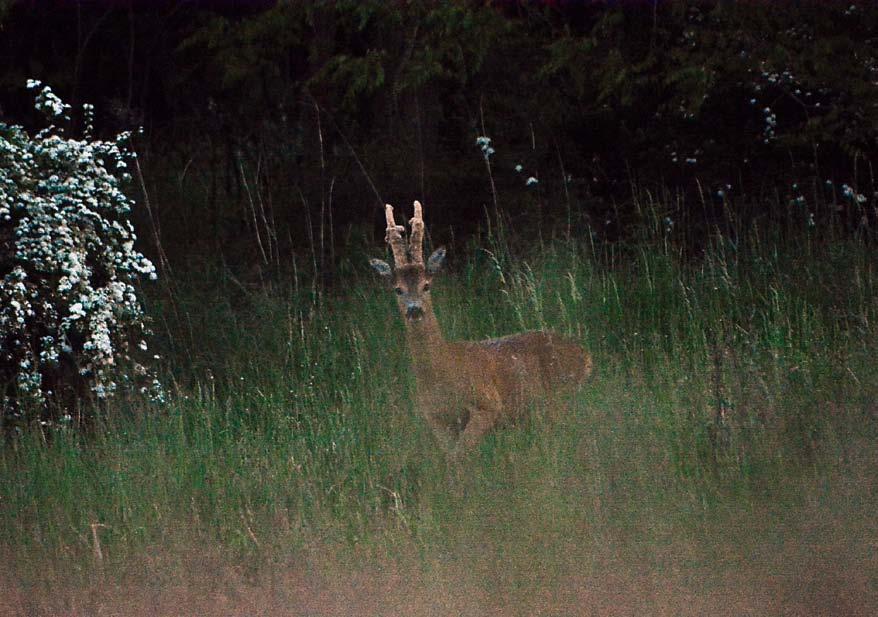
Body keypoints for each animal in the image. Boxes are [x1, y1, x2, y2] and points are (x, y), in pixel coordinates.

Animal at [368, 201, 596, 452]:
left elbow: (461, 455)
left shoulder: (488, 404)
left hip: (561, 394)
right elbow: (452, 458)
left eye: (426, 285)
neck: (441, 372)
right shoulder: (436, 420)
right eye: (398, 289)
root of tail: (584, 354)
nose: (414, 309)